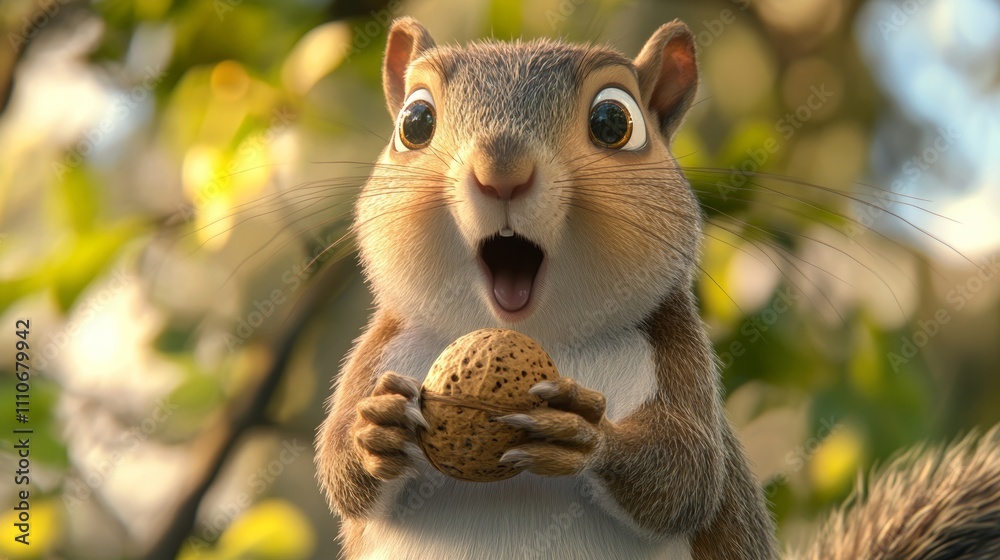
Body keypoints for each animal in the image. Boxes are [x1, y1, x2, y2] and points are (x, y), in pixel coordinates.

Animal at [314, 17, 1000, 559]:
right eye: (415, 121)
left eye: (614, 120)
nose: (500, 169)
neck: (543, 335)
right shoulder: (381, 348)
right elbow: (337, 471)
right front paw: (370, 431)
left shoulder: (678, 356)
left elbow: (687, 476)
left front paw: (585, 435)